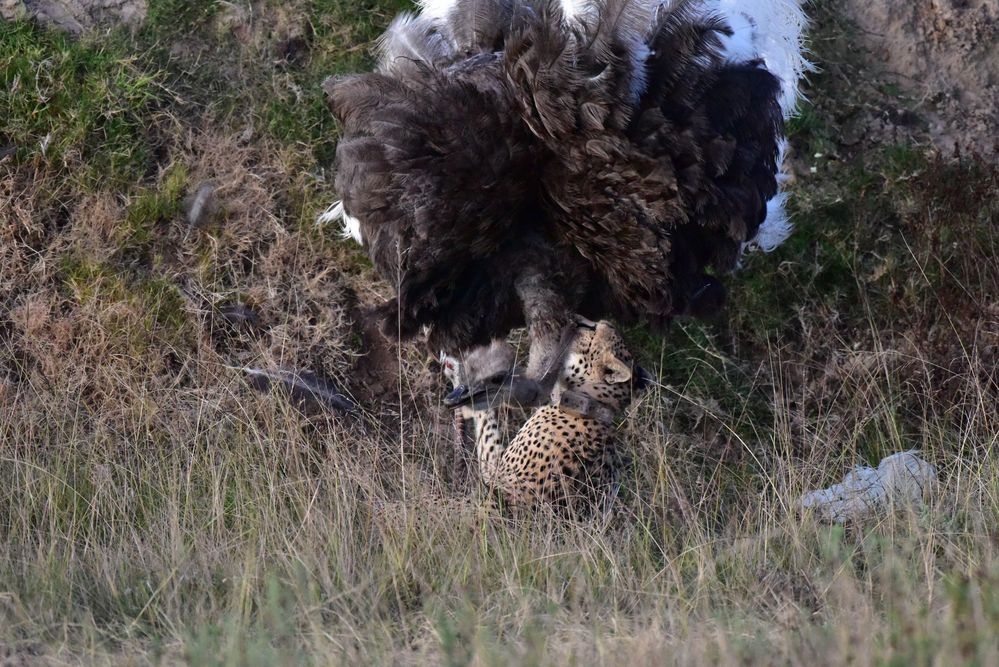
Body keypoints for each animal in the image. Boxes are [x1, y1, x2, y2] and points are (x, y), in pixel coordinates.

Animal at [444, 318, 648, 512]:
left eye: (593, 329)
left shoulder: (496, 479)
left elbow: (487, 431)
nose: (574, 319)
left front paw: (459, 376)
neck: (589, 403)